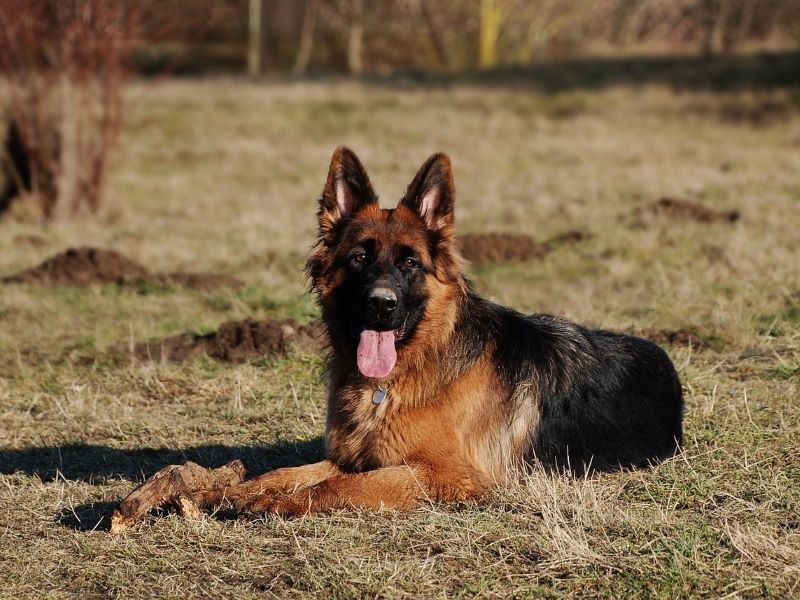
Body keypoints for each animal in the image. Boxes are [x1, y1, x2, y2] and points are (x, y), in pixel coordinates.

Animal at [206, 145, 680, 516]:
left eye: (410, 263)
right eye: (360, 258)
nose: (381, 304)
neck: (393, 381)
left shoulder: (446, 474)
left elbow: (343, 485)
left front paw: (281, 502)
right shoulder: (356, 457)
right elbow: (293, 471)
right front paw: (241, 489)